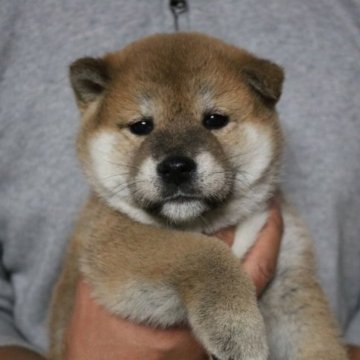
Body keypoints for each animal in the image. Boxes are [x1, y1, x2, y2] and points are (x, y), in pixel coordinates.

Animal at [49, 32, 348, 358]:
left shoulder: (290, 280)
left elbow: (317, 341)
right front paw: (236, 327)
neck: (208, 223)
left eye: (214, 120)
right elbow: (205, 254)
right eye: (141, 126)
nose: (176, 167)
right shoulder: (113, 241)